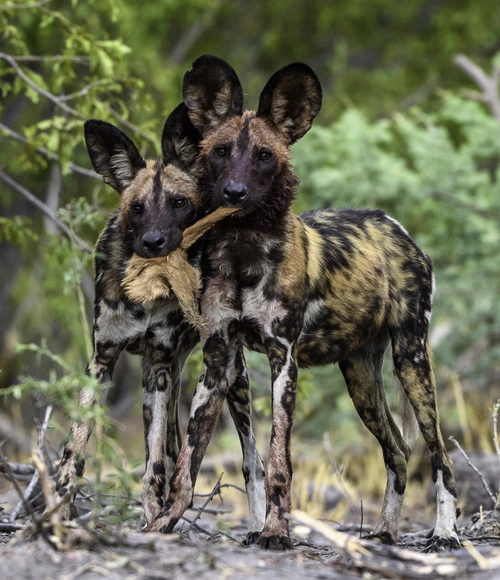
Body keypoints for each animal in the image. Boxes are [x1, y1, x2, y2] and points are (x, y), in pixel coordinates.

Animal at [55, 104, 268, 540]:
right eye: (137, 208)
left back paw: (258, 528)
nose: (153, 242)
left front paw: (153, 518)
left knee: (251, 458)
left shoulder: (158, 366)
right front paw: (60, 510)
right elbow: (76, 447)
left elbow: (152, 463)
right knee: (172, 448)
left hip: (230, 379)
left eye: (179, 203)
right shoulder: (103, 361)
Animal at [144, 56, 458, 552]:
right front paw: (163, 523)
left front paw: (275, 533)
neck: (244, 251)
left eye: (264, 155)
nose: (234, 192)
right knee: (398, 450)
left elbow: (278, 461)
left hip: (412, 361)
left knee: (440, 456)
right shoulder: (217, 360)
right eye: (220, 152)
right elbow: (187, 460)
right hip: (361, 379)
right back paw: (386, 530)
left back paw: (445, 533)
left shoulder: (283, 358)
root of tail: (395, 226)